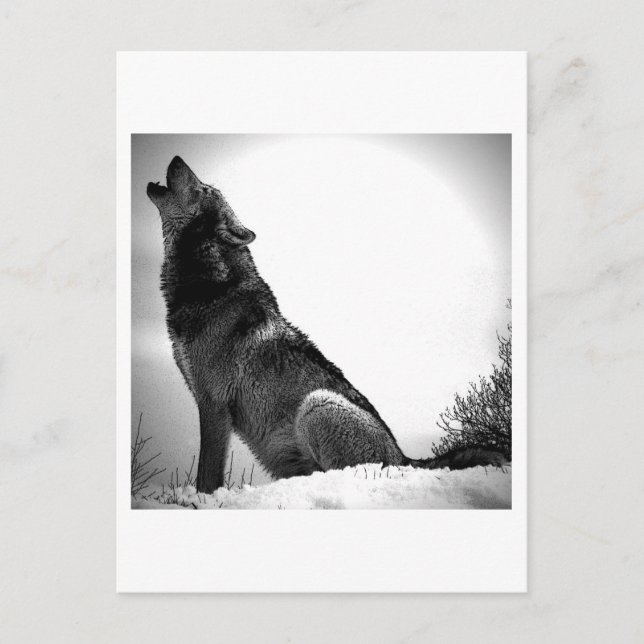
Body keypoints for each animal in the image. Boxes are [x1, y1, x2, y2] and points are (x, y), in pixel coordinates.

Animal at [147, 156, 505, 493]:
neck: (210, 285)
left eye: (203, 189)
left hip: (316, 404)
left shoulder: (214, 405)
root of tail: (404, 458)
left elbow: (206, 476)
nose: (177, 158)